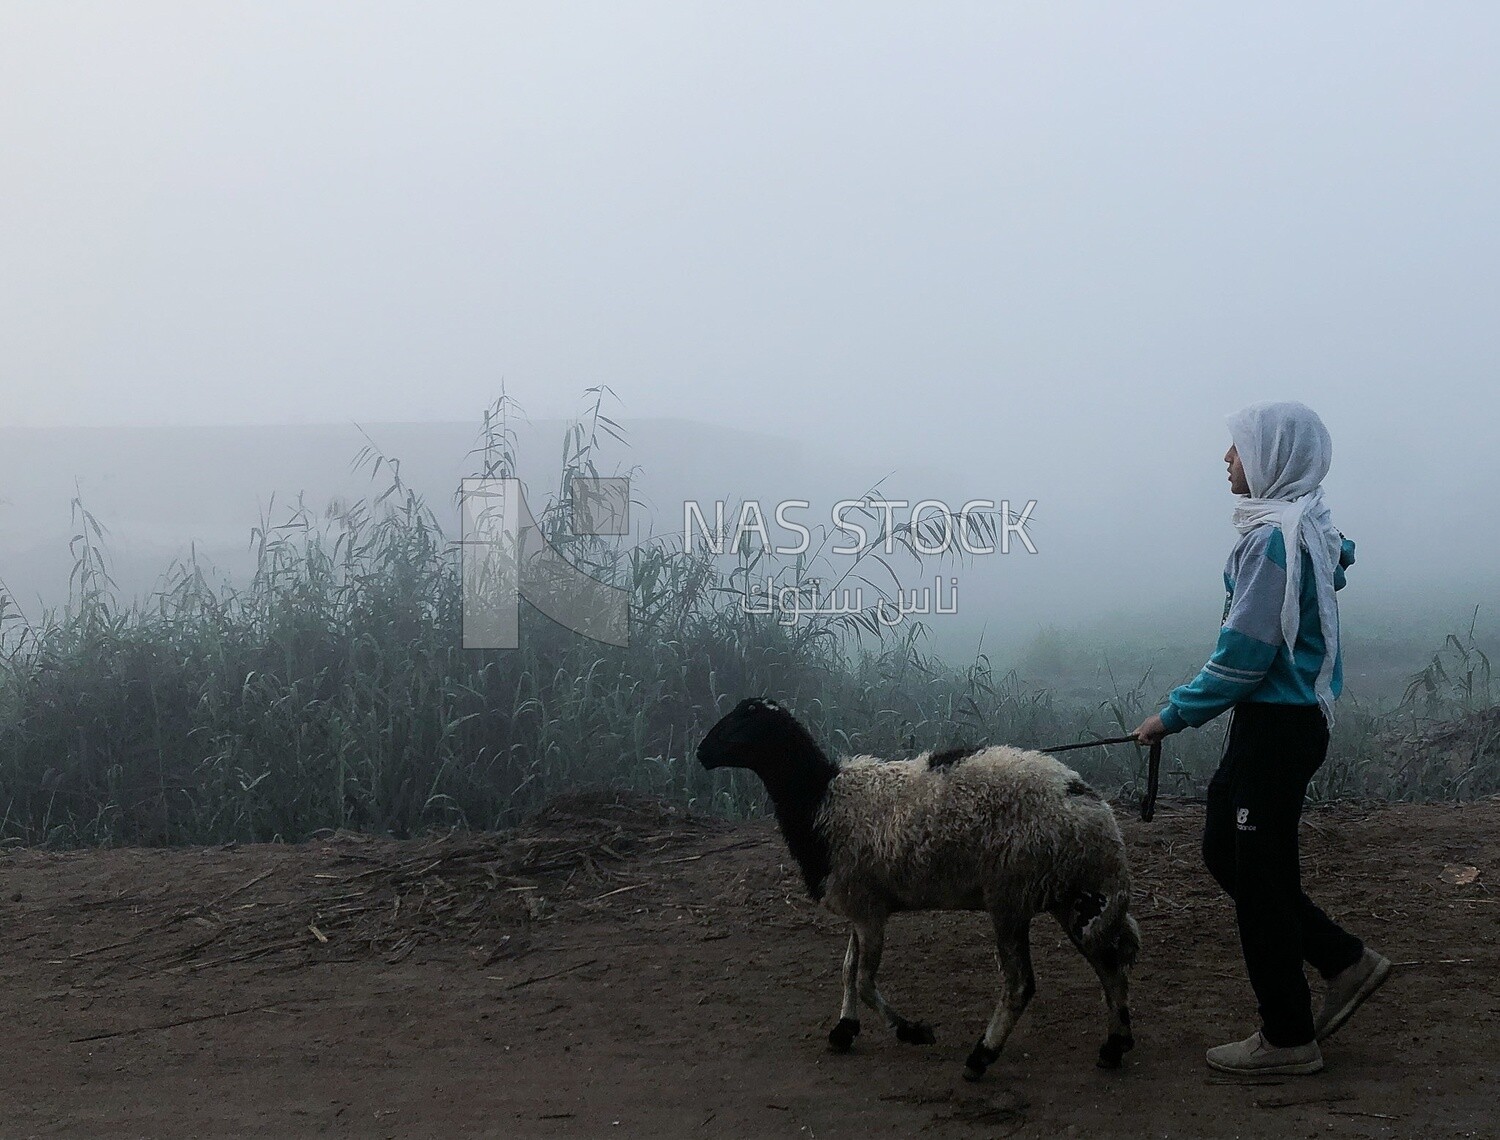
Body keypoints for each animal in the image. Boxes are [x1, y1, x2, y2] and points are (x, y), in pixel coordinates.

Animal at [696, 696, 1140, 1080]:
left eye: (743, 721)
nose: (700, 753)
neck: (821, 799)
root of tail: (1095, 811)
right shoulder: (862, 901)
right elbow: (848, 968)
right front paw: (844, 1029)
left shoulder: (867, 909)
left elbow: (864, 980)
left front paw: (912, 1031)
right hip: (1073, 894)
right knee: (1108, 963)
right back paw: (1114, 1046)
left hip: (1011, 893)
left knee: (1021, 984)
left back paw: (981, 1056)